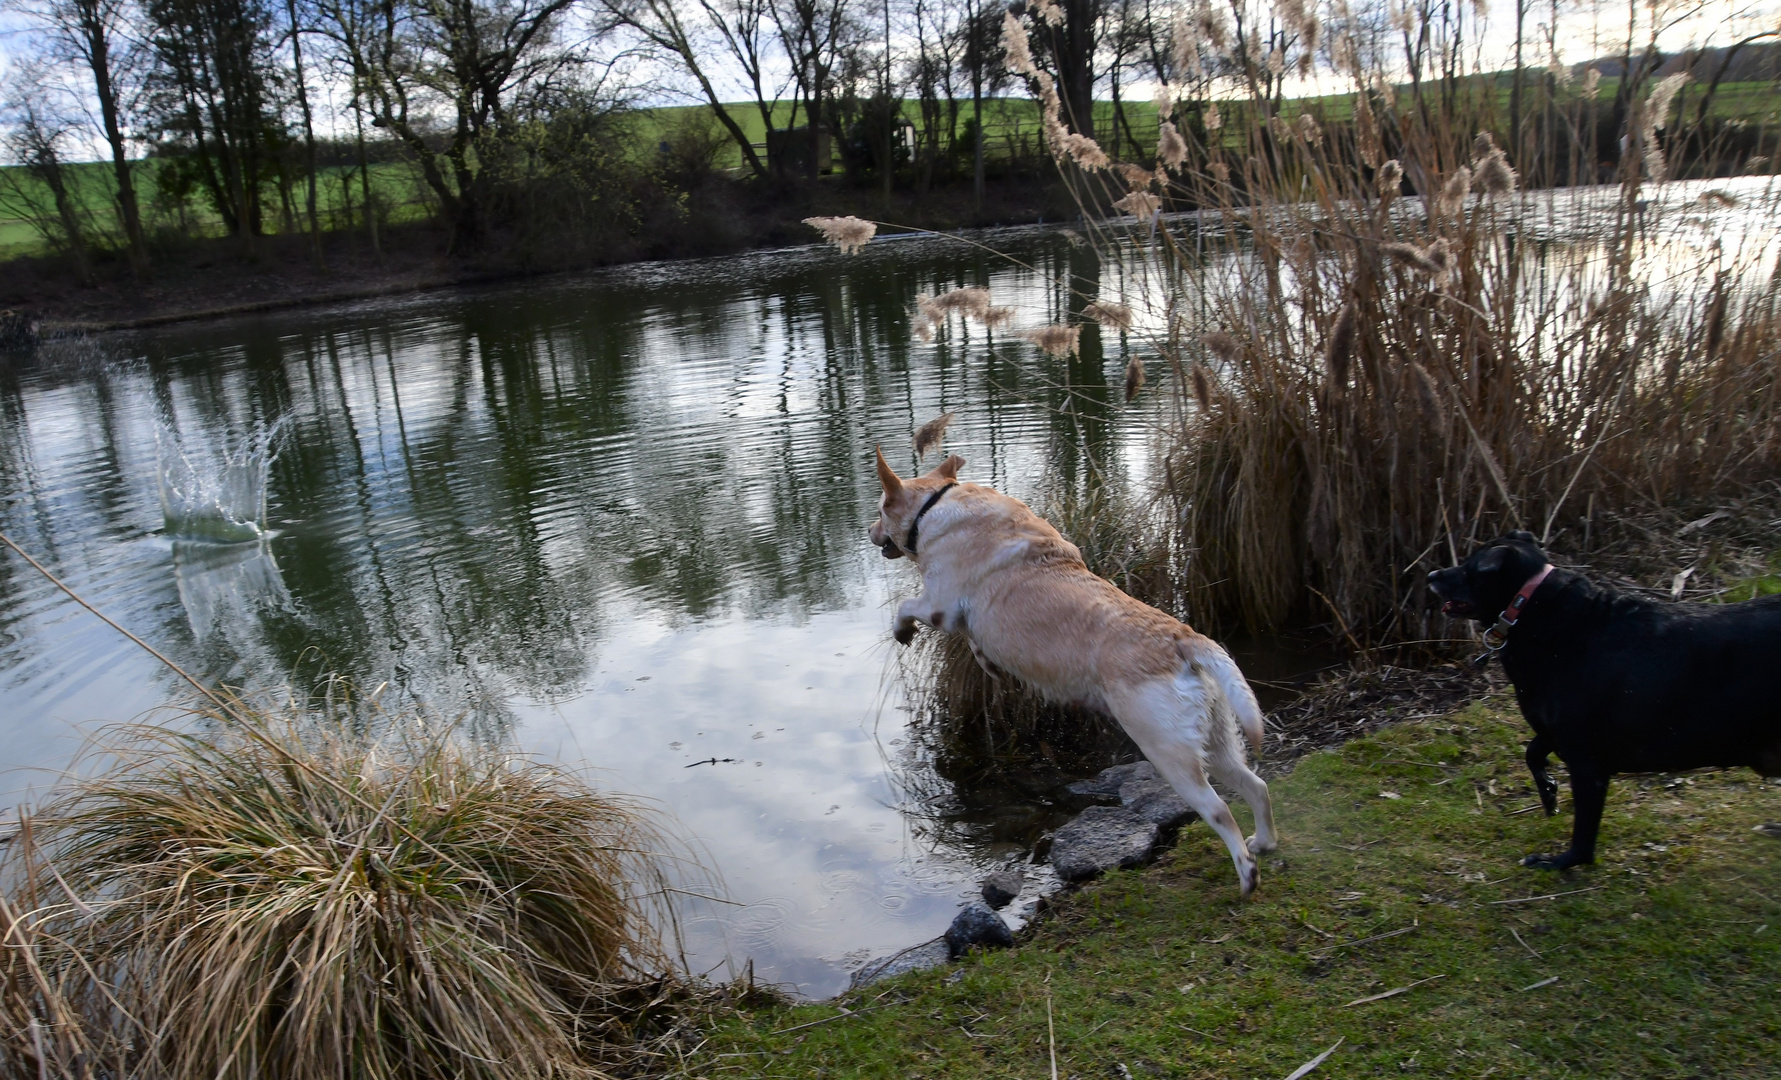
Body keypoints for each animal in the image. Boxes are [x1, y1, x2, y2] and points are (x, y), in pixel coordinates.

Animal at [869, 449, 1275, 898]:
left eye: (879, 510)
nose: (868, 531)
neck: (935, 504)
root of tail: (1182, 638)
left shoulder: (938, 604)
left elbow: (905, 606)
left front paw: (902, 631)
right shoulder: (964, 620)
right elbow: (974, 643)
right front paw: (987, 663)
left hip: (1169, 751)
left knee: (1220, 810)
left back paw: (1248, 874)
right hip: (1217, 739)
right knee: (1257, 786)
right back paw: (1264, 843)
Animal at [1431, 534, 1781, 873]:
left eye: (1470, 567)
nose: (1432, 574)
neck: (1539, 613)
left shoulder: (1587, 760)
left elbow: (1584, 833)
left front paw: (1558, 862)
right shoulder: (1557, 730)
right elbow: (1533, 752)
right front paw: (1548, 792)